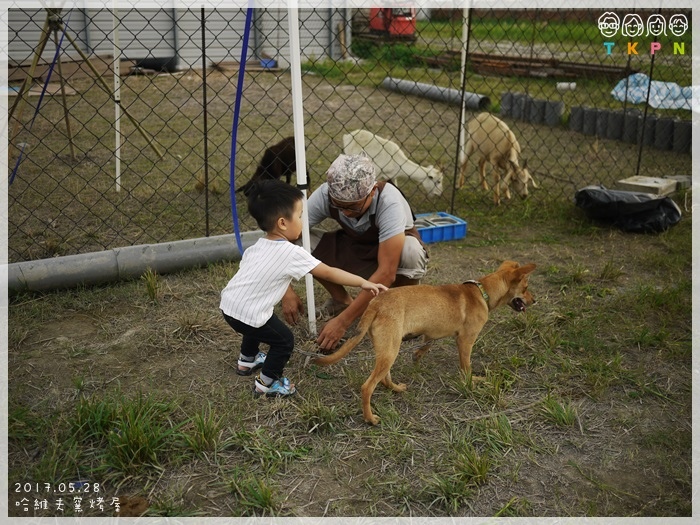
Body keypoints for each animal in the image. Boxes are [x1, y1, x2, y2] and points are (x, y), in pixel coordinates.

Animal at [312, 260, 536, 424]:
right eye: (525, 288)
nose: (535, 301)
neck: (482, 291)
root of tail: (376, 303)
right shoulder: (466, 342)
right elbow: (467, 367)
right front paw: (472, 382)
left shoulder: (436, 334)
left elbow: (427, 345)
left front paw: (417, 356)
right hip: (390, 349)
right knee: (368, 386)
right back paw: (370, 418)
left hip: (388, 347)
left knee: (384, 377)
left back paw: (395, 388)